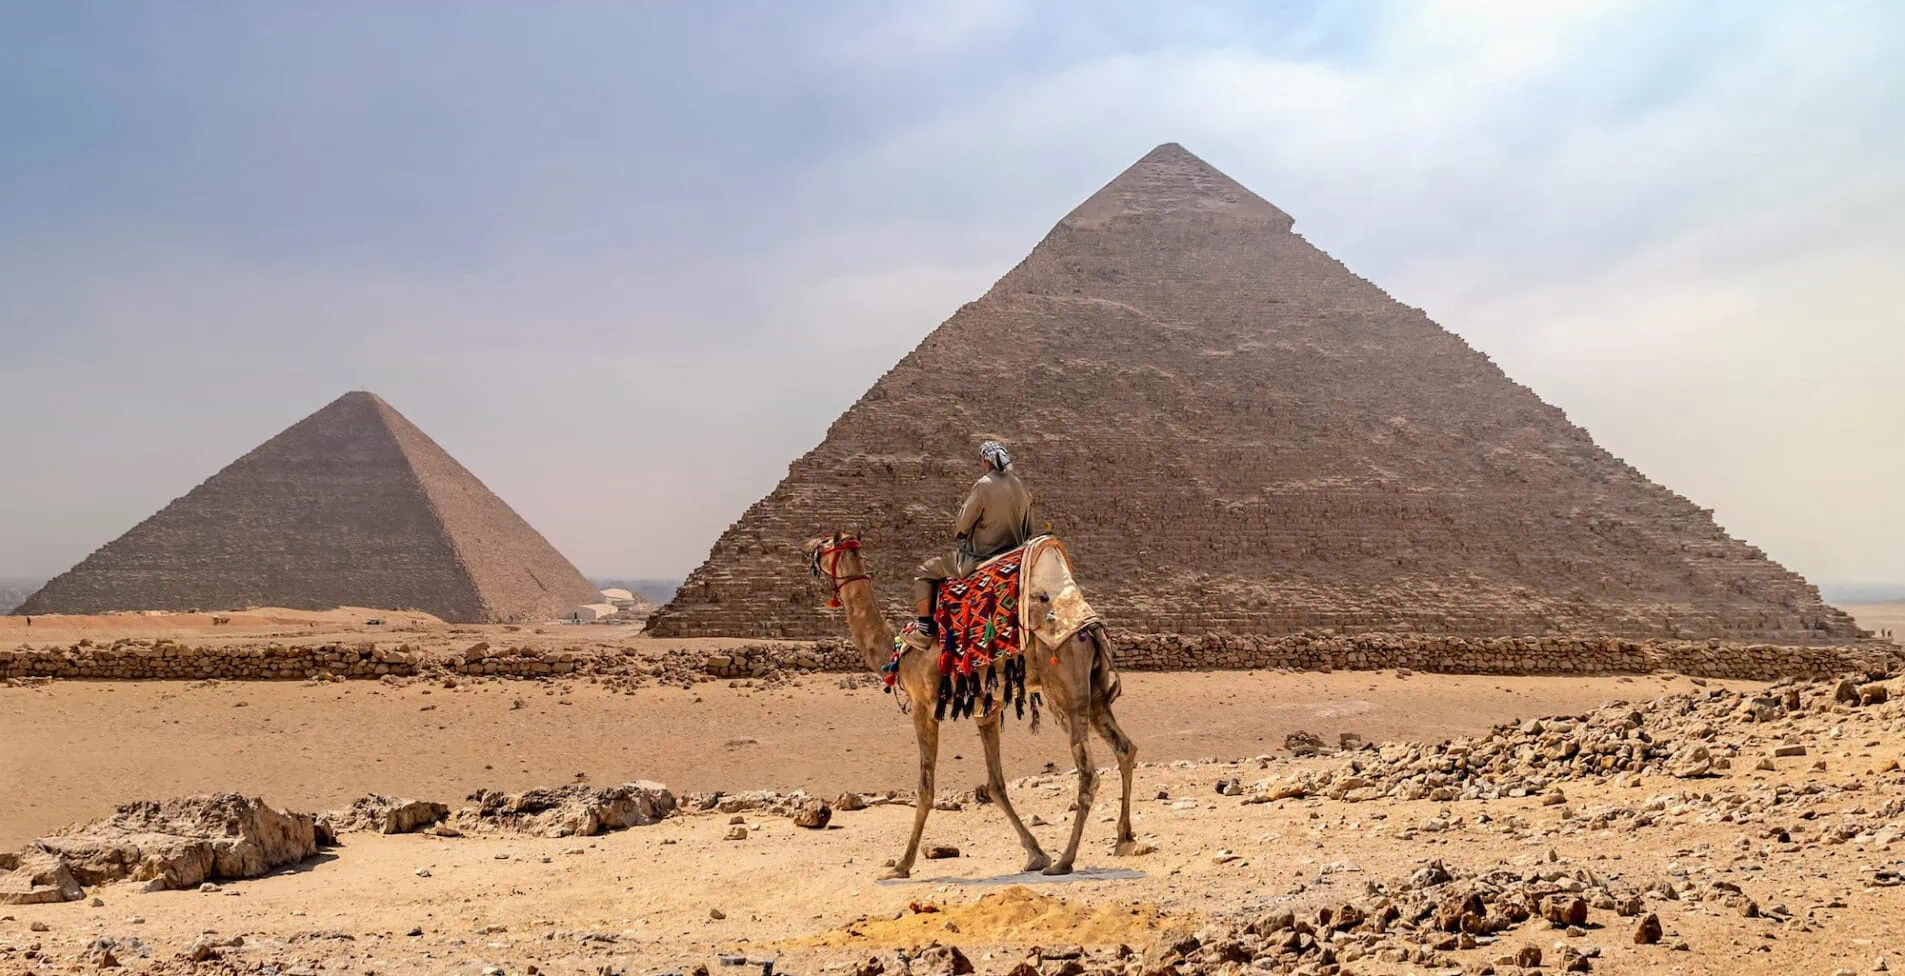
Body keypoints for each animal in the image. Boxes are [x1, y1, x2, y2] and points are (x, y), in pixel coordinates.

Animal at [804, 532, 1138, 879]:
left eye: (824, 542)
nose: (805, 548)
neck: (895, 651)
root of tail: (1090, 627)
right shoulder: (986, 708)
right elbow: (996, 785)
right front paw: (1035, 854)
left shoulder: (923, 705)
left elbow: (926, 788)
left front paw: (901, 865)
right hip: (1093, 694)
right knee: (1125, 748)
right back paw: (1123, 838)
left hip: (1065, 691)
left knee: (1088, 773)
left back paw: (1065, 861)